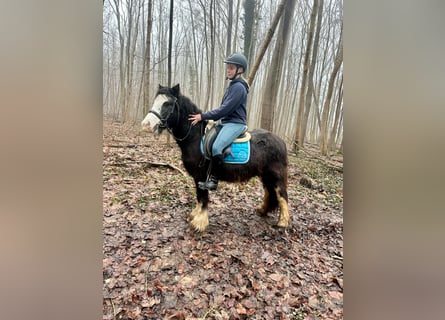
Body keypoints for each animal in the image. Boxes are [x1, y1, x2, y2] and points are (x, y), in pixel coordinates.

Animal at [140, 84, 290, 231]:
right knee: (270, 192)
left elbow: (203, 196)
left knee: (282, 195)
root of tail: (281, 142)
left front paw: (199, 223)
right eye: (155, 101)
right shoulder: (197, 177)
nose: (146, 125)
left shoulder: (201, 175)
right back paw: (262, 210)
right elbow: (199, 196)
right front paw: (195, 215)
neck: (195, 137)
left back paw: (283, 222)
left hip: (275, 175)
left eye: (168, 104)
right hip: (265, 175)